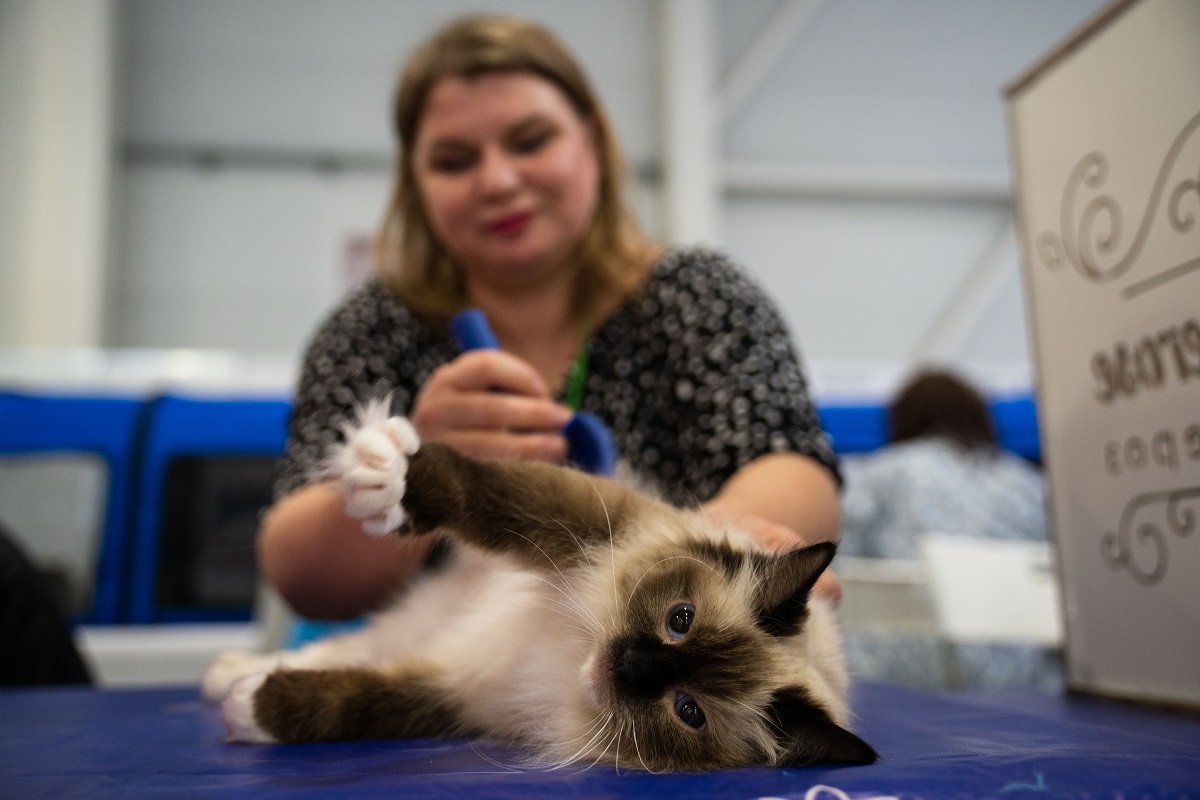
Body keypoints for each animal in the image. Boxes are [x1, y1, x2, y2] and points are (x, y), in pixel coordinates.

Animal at [201, 402, 878, 772]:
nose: (629, 664)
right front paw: (394, 478)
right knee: (337, 648)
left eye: (688, 710)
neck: (568, 657)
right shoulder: (590, 520)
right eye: (679, 619)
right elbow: (483, 491)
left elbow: (355, 703)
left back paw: (234, 685)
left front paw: (255, 713)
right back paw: (226, 671)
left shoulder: (460, 693)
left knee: (346, 657)